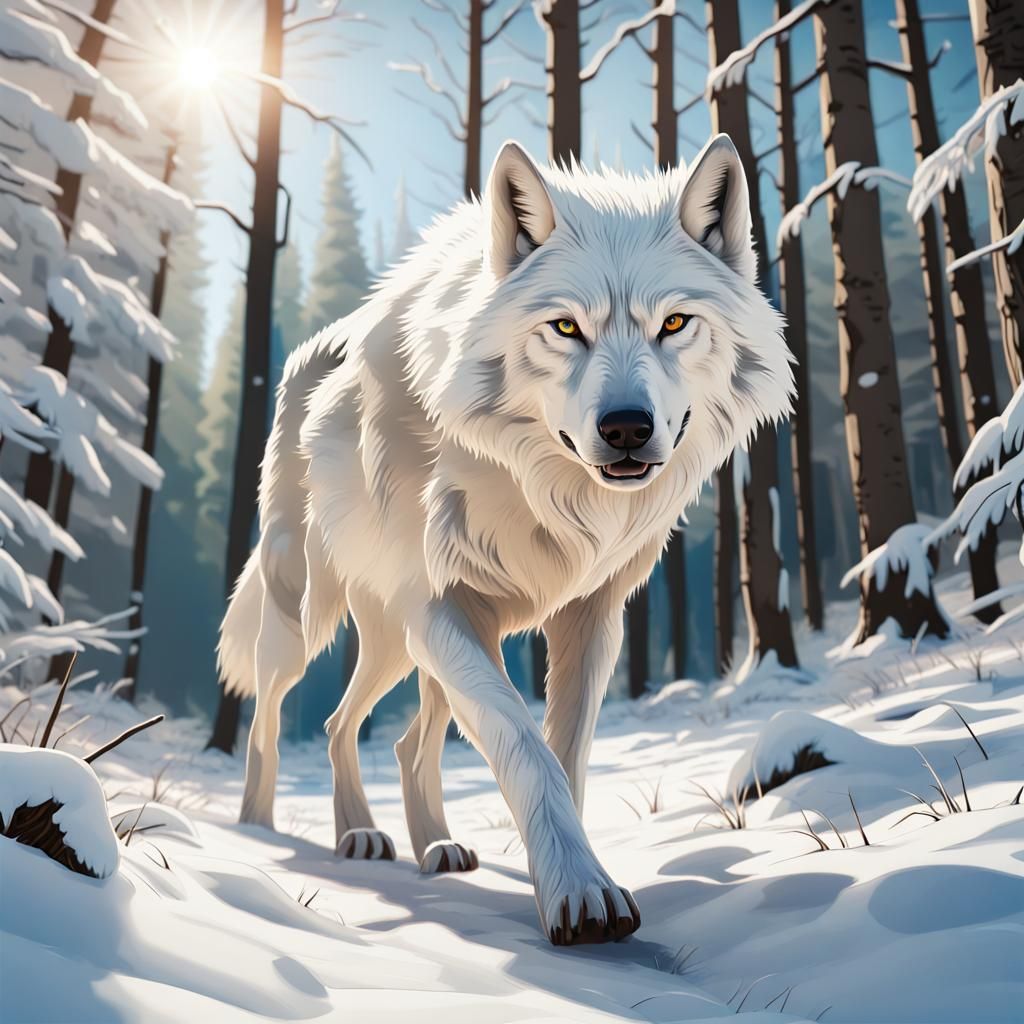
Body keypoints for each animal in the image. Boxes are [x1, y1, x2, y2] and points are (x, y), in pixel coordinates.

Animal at [218, 135, 793, 945]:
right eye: (566, 328)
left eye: (675, 324)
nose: (625, 427)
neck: (547, 492)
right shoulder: (441, 607)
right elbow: (523, 743)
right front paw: (580, 893)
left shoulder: (589, 617)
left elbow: (566, 754)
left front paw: (561, 871)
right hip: (313, 619)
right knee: (273, 720)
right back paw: (279, 831)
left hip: (403, 645)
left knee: (370, 731)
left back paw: (423, 845)